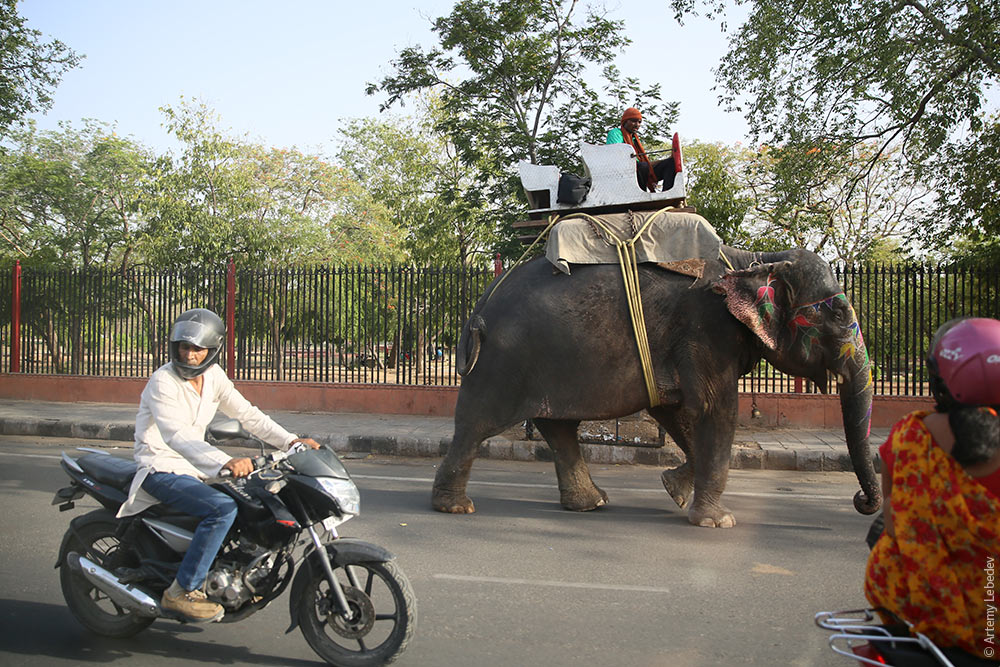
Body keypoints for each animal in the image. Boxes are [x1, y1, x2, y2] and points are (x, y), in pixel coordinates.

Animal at [434, 248, 880, 528]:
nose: (862, 503)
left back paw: (591, 504)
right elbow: (714, 409)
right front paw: (717, 521)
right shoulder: (707, 330)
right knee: (477, 423)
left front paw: (674, 489)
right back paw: (455, 507)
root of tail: (479, 307)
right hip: (502, 364)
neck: (757, 259)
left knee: (557, 427)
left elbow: (676, 410)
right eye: (839, 313)